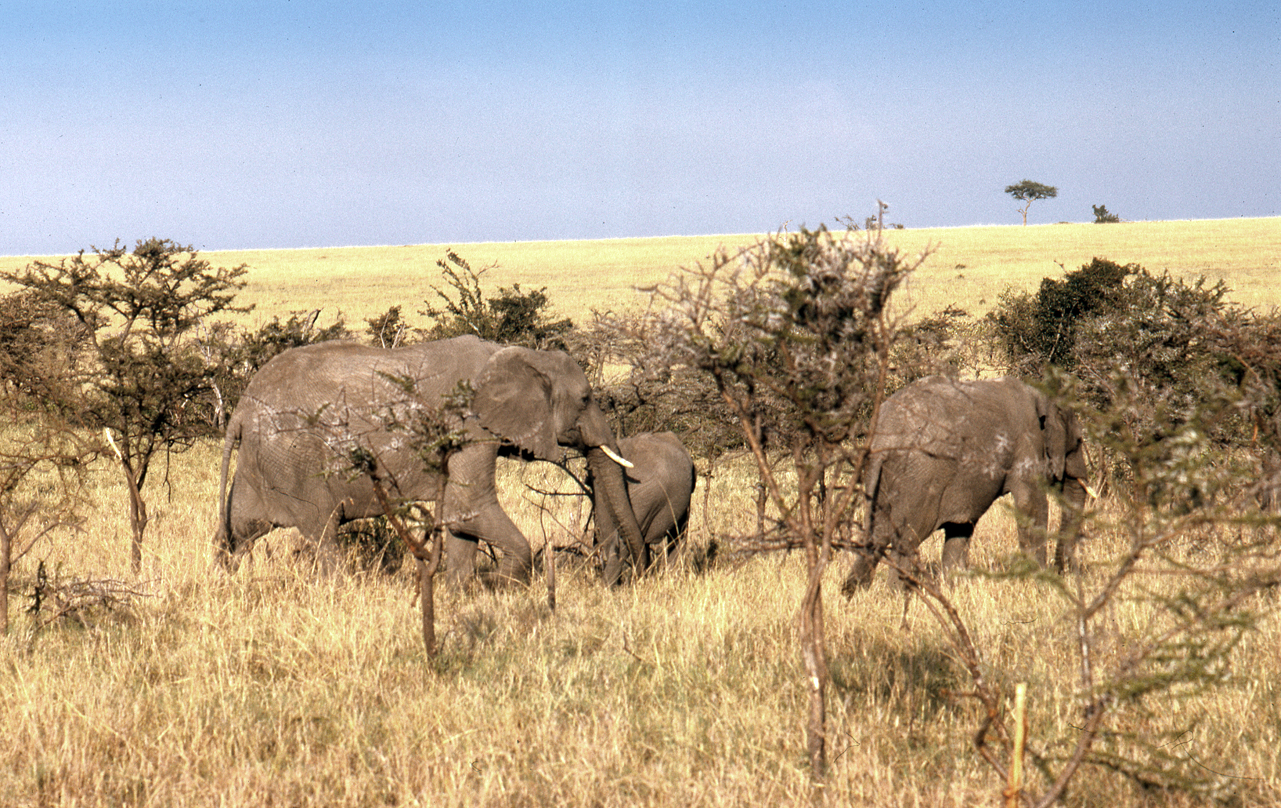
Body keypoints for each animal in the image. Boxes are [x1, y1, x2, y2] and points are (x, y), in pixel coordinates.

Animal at [216, 332, 650, 583]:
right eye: (586, 399)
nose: (627, 572)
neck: (520, 355)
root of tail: (242, 408)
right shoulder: (467, 426)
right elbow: (469, 505)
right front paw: (499, 583)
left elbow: (460, 515)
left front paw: (459, 591)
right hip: (295, 458)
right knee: (323, 532)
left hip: (261, 461)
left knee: (240, 529)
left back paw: (227, 581)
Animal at [840, 373, 1091, 594]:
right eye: (1079, 441)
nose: (1062, 571)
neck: (1041, 393)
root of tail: (883, 438)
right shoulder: (1026, 442)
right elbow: (1032, 504)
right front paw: (1042, 584)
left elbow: (961, 525)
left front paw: (956, 588)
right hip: (920, 476)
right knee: (908, 537)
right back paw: (896, 594)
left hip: (884, 476)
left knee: (877, 535)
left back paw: (853, 593)